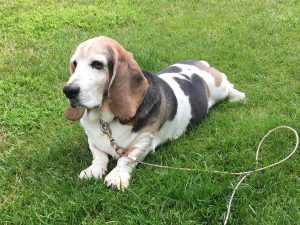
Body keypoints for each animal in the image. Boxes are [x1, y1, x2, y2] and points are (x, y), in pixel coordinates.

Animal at [62, 35, 245, 190]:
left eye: (97, 64)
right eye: (74, 64)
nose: (68, 90)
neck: (106, 120)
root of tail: (199, 63)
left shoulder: (143, 142)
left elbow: (125, 160)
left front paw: (117, 177)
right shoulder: (92, 140)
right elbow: (99, 156)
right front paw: (93, 170)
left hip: (219, 87)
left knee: (229, 85)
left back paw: (238, 96)